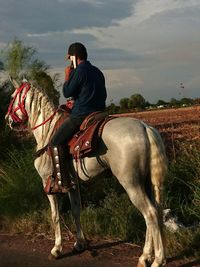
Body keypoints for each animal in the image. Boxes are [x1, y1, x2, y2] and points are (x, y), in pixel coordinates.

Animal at [5, 81, 167, 267]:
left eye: (12, 97)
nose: (7, 120)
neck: (47, 132)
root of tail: (145, 128)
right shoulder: (72, 185)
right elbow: (76, 211)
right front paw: (79, 244)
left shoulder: (48, 184)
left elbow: (55, 216)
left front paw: (56, 249)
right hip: (145, 182)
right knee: (155, 212)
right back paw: (145, 257)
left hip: (131, 184)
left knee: (150, 214)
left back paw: (157, 260)